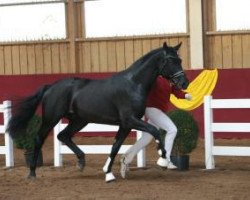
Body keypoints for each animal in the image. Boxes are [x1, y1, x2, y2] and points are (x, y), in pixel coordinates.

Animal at [7, 41, 189, 181]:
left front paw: (108, 173)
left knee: (63, 135)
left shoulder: (126, 125)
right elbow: (154, 131)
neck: (134, 84)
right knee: (39, 139)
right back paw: (32, 173)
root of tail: (51, 87)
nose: (184, 83)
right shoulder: (130, 120)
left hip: (79, 120)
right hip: (51, 118)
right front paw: (163, 158)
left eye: (180, 59)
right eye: (171, 60)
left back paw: (81, 161)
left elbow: (115, 146)